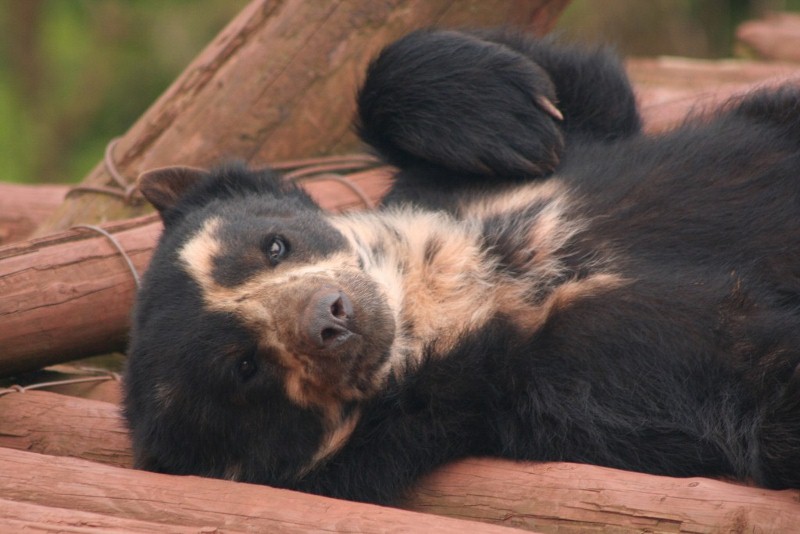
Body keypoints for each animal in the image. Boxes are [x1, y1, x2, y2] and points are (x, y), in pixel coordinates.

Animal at [123, 28, 800, 505]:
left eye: (275, 245)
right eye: (246, 368)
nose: (333, 317)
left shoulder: (461, 186)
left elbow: (586, 99)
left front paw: (518, 117)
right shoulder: (548, 391)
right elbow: (745, 385)